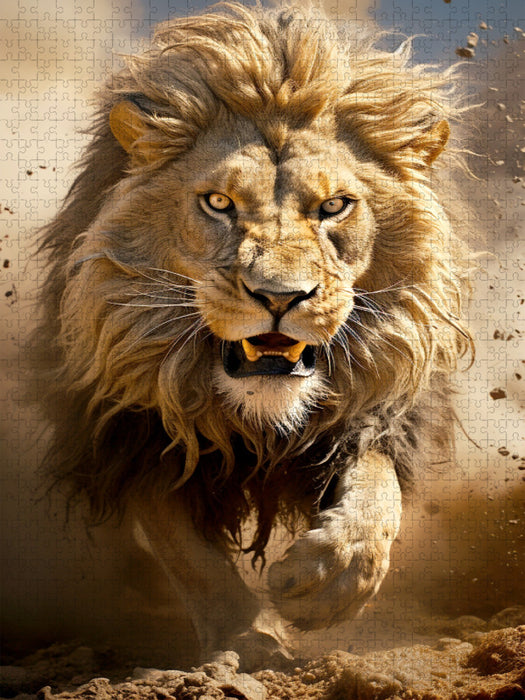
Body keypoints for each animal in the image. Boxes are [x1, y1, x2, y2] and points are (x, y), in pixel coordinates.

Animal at [33, 2, 472, 671]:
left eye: (335, 207)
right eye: (218, 202)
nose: (280, 297)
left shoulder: (379, 408)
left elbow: (378, 491)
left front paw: (325, 582)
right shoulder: (134, 431)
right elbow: (190, 556)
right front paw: (248, 641)